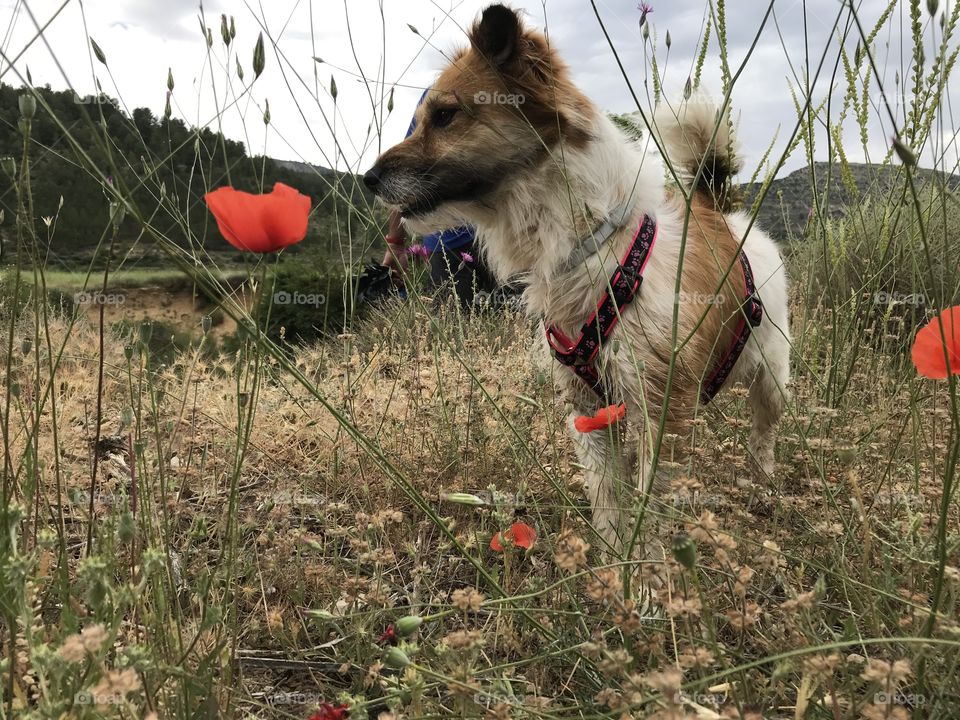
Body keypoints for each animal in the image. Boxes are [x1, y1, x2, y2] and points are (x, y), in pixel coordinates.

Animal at [364, 2, 792, 556]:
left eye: (444, 115)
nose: (367, 180)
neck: (597, 250)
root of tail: (717, 212)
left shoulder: (661, 407)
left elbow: (651, 505)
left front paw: (646, 569)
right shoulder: (586, 406)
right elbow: (607, 495)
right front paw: (611, 560)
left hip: (772, 374)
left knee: (764, 431)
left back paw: (762, 480)